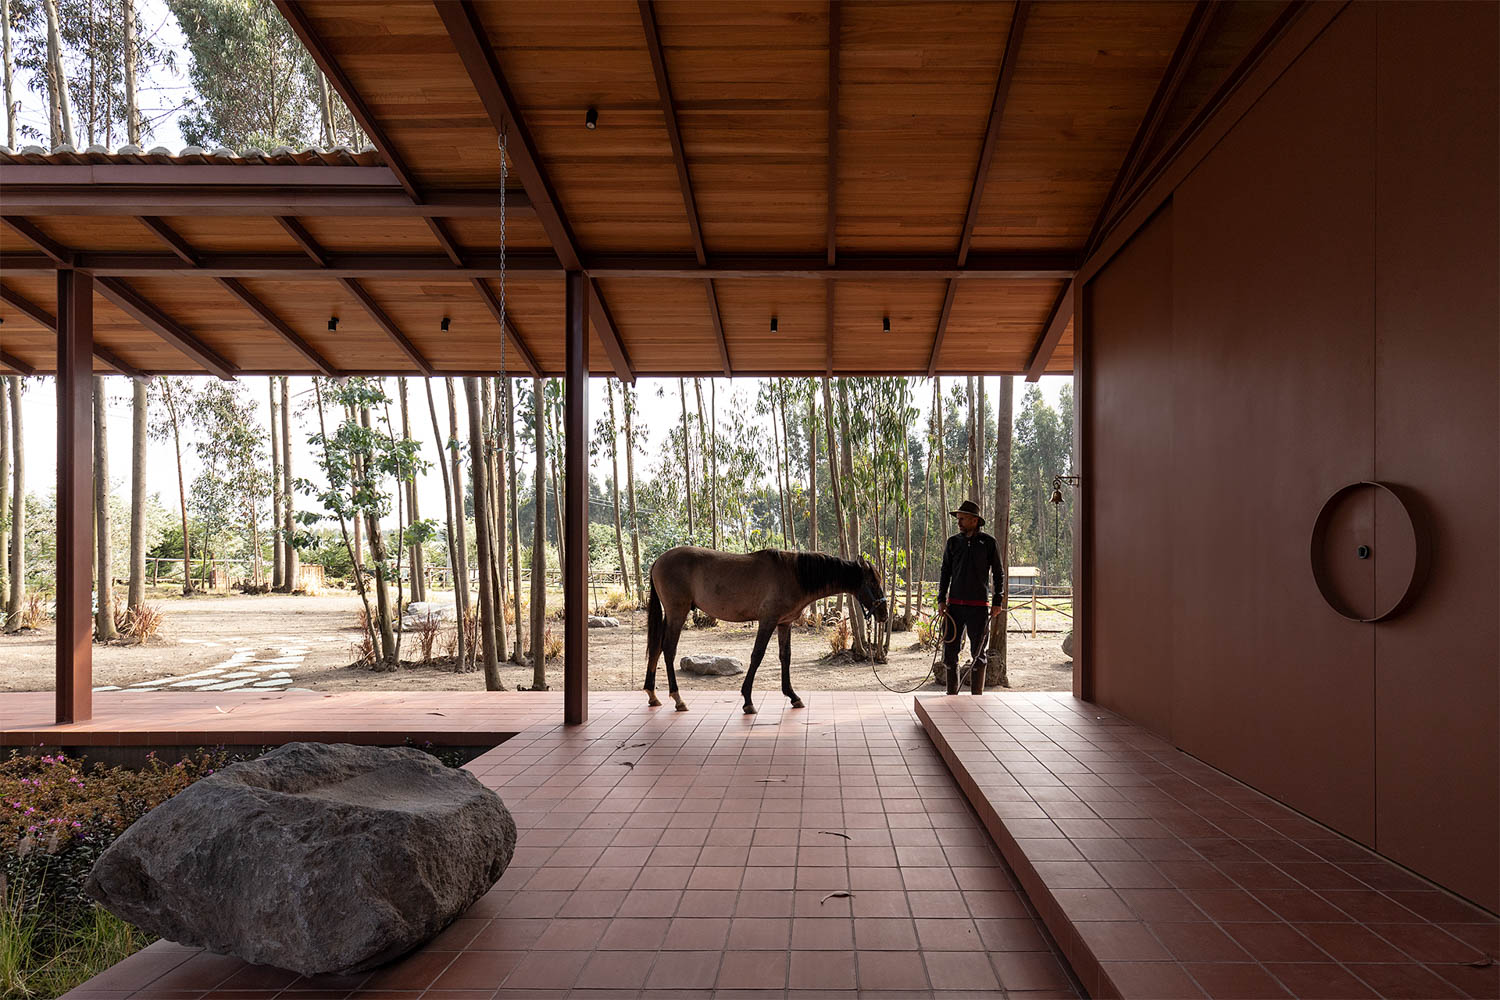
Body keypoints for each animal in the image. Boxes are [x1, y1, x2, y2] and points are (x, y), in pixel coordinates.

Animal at [648, 548, 888, 719]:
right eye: (873, 581)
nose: (884, 615)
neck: (795, 574)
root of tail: (658, 561)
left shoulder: (784, 624)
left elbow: (785, 657)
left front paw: (792, 696)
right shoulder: (768, 621)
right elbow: (757, 655)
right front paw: (748, 700)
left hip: (670, 615)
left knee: (656, 648)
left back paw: (652, 695)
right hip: (677, 613)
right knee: (668, 650)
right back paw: (678, 698)